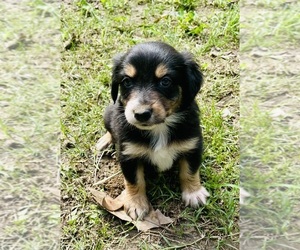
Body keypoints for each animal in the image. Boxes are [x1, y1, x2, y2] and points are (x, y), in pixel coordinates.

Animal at [97, 41, 210, 221]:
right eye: (127, 81)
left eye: (165, 81)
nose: (141, 114)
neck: (159, 128)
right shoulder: (128, 155)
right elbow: (134, 181)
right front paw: (136, 204)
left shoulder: (192, 146)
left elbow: (190, 171)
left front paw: (194, 193)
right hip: (108, 113)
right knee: (109, 130)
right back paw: (104, 141)